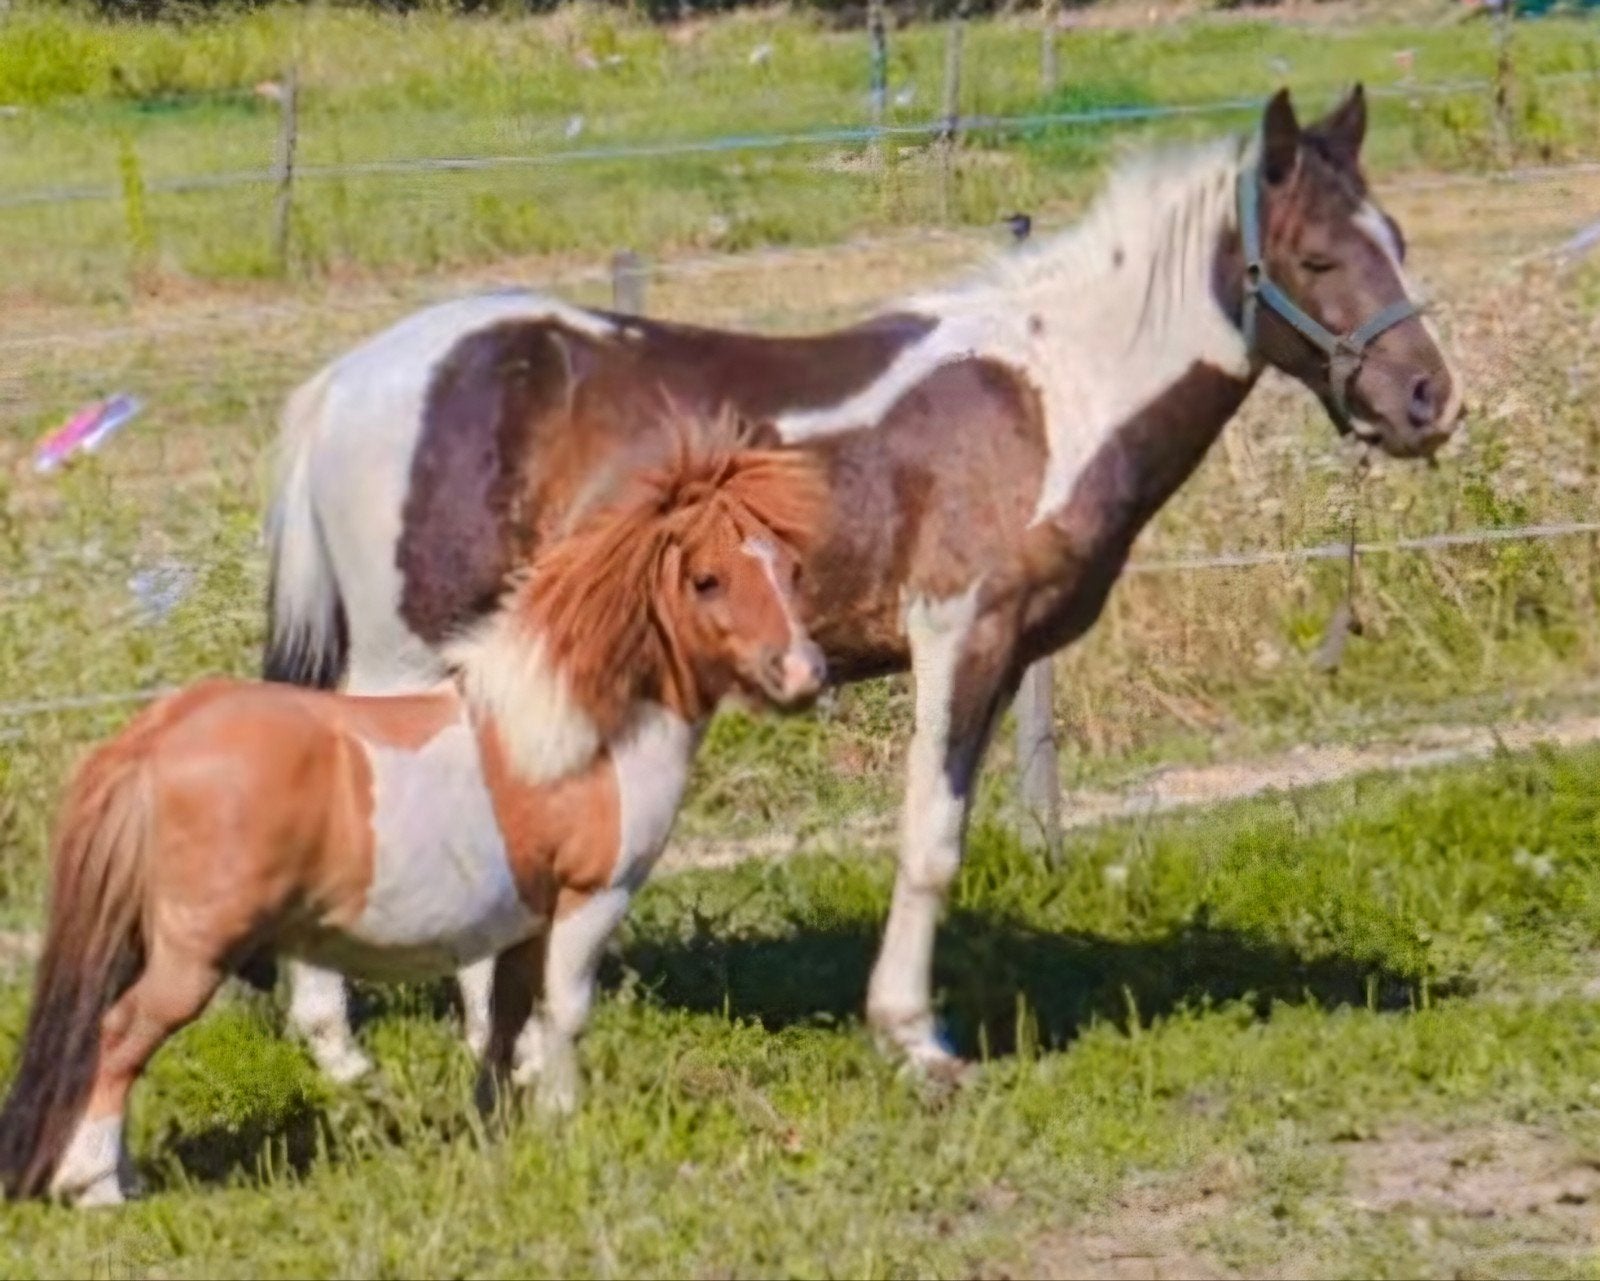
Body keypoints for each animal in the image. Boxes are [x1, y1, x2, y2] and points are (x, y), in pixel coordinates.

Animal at [0, 431, 829, 1206]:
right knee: (118, 1037)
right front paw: (561, 1117)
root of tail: (153, 735)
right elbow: (565, 1012)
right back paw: (96, 1187)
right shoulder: (591, 900)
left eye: (790, 570)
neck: (579, 731)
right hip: (191, 958)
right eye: (708, 579)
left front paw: (498, 1122)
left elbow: (505, 1022)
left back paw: (121, 1174)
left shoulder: (525, 922)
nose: (804, 675)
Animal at [261, 86, 1464, 1083]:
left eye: (1398, 242)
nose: (1428, 401)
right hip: (407, 651)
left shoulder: (1003, 655)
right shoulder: (960, 635)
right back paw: (344, 1049)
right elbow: (927, 841)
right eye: (1315, 258)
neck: (1052, 393)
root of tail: (350, 378)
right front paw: (914, 1039)